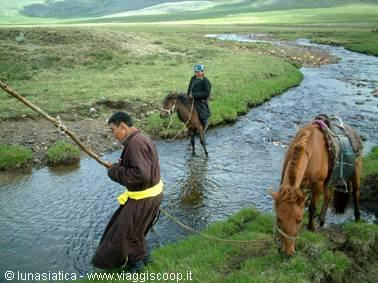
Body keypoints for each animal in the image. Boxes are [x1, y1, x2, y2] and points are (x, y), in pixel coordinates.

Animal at [270, 122, 362, 258]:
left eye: (299, 220)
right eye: (279, 219)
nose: (288, 252)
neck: (311, 150)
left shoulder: (317, 184)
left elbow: (312, 207)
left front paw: (311, 228)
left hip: (355, 172)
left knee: (356, 193)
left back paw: (357, 217)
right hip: (328, 181)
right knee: (328, 196)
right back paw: (322, 221)